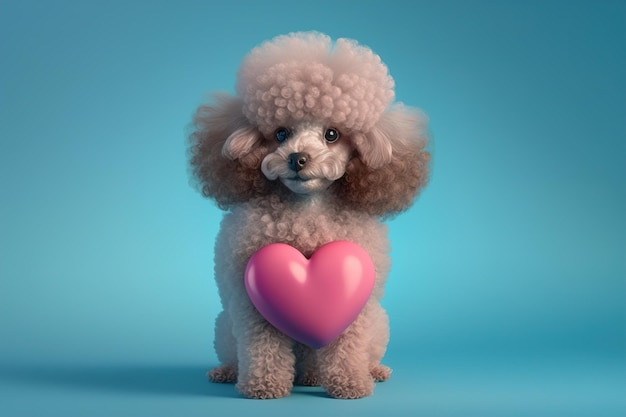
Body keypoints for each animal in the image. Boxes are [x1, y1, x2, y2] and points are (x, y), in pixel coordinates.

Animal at [188, 31, 426, 396]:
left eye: (332, 134)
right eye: (280, 133)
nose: (297, 158)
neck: (307, 213)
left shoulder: (357, 308)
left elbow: (347, 344)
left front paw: (351, 384)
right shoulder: (250, 300)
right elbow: (264, 346)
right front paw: (263, 386)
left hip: (379, 324)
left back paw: (364, 371)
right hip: (224, 326)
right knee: (235, 352)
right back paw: (229, 372)